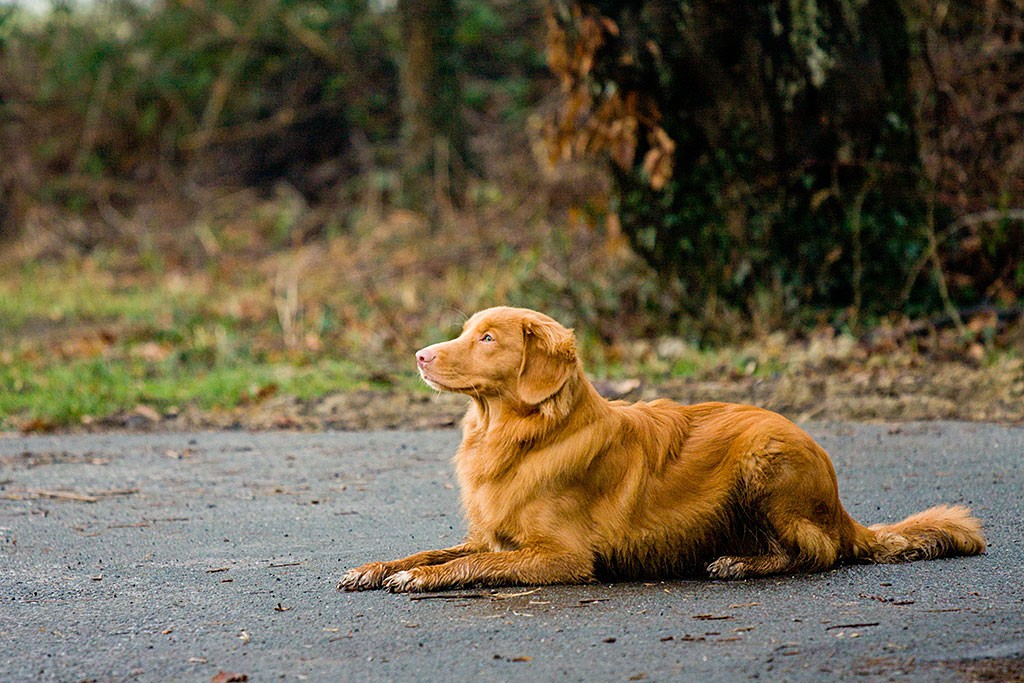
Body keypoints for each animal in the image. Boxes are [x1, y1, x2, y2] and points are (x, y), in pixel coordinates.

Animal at [339, 305, 987, 593]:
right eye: (466, 331)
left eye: (489, 338)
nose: (420, 355)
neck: (522, 436)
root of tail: (839, 501)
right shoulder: (491, 532)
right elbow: (434, 550)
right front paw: (377, 567)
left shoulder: (561, 558)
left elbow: (471, 565)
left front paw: (418, 579)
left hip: (765, 460)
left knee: (818, 551)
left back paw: (740, 564)